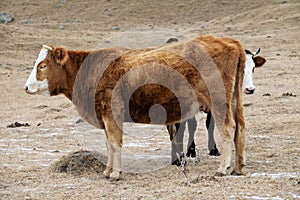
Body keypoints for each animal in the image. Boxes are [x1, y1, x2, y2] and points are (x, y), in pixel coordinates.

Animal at [25, 34, 246, 180]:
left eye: (42, 65)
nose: (26, 87)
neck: (90, 70)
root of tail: (231, 42)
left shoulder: (111, 115)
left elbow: (115, 143)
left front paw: (115, 173)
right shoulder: (104, 118)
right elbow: (108, 144)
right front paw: (107, 171)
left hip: (218, 103)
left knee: (228, 129)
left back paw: (222, 168)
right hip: (234, 102)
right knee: (240, 128)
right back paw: (238, 167)